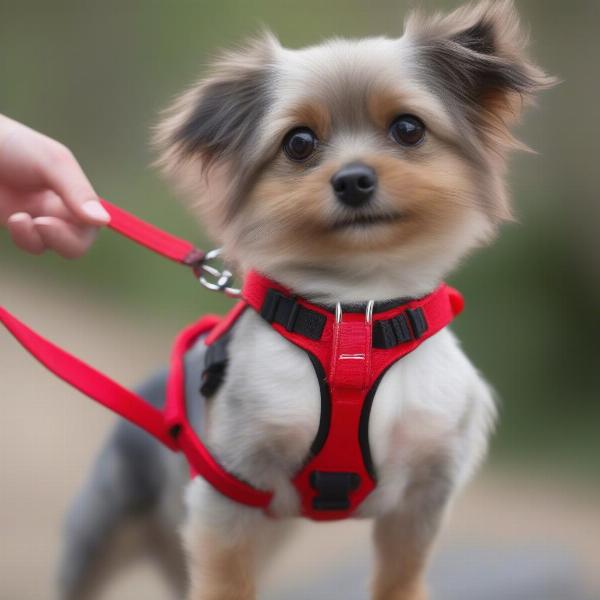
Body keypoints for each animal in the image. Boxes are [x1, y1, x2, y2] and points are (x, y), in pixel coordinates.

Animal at [59, 1, 552, 600]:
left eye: (408, 128)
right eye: (298, 142)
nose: (354, 180)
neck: (355, 321)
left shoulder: (423, 495)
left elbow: (399, 578)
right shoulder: (231, 491)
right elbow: (226, 583)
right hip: (101, 532)